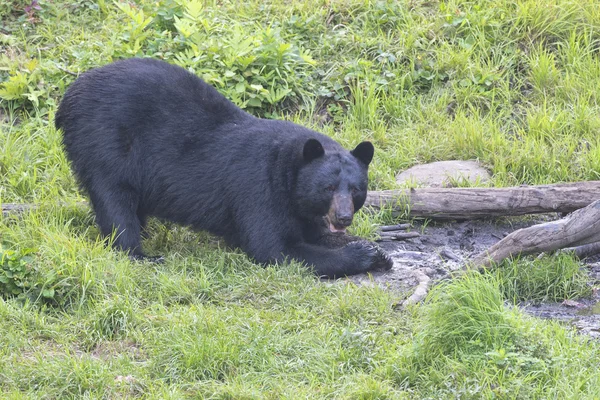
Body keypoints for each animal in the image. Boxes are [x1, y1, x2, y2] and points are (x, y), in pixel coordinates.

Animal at [56, 57, 394, 278]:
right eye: (327, 187)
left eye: (356, 190)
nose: (343, 217)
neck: (288, 173)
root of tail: (69, 95)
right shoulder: (258, 188)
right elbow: (275, 249)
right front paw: (361, 255)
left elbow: (311, 234)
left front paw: (377, 251)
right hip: (104, 143)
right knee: (115, 201)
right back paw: (142, 254)